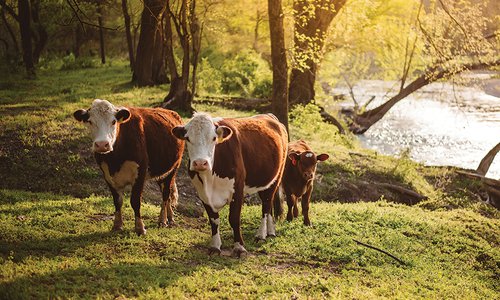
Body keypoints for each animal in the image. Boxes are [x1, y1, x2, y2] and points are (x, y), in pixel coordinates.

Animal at [73, 99, 185, 236]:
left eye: (113, 121)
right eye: (90, 121)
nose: (102, 144)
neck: (115, 160)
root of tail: (170, 112)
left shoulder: (140, 173)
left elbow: (135, 201)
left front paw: (140, 228)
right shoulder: (107, 175)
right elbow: (117, 201)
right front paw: (117, 225)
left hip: (173, 169)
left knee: (165, 194)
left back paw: (162, 220)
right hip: (160, 172)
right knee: (166, 193)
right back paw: (170, 217)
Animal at [173, 111, 288, 256]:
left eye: (214, 138)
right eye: (187, 138)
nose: (200, 163)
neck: (210, 179)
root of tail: (269, 116)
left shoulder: (237, 189)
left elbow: (234, 218)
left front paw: (239, 247)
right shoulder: (202, 193)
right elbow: (213, 220)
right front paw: (215, 246)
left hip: (276, 177)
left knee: (266, 206)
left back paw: (261, 235)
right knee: (269, 205)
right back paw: (271, 232)